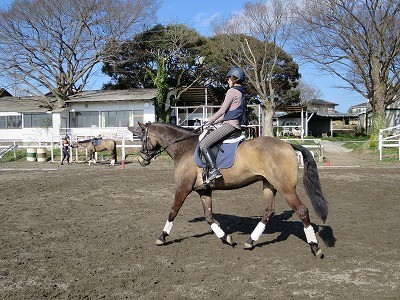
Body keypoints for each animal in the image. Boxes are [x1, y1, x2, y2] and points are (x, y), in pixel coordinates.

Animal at [128, 122, 328, 258]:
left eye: (142, 138)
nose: (141, 160)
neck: (183, 147)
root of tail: (287, 144)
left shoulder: (183, 187)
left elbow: (173, 212)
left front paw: (162, 237)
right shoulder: (204, 191)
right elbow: (209, 217)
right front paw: (226, 238)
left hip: (285, 187)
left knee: (302, 211)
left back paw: (315, 247)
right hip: (269, 185)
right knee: (268, 212)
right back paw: (250, 242)